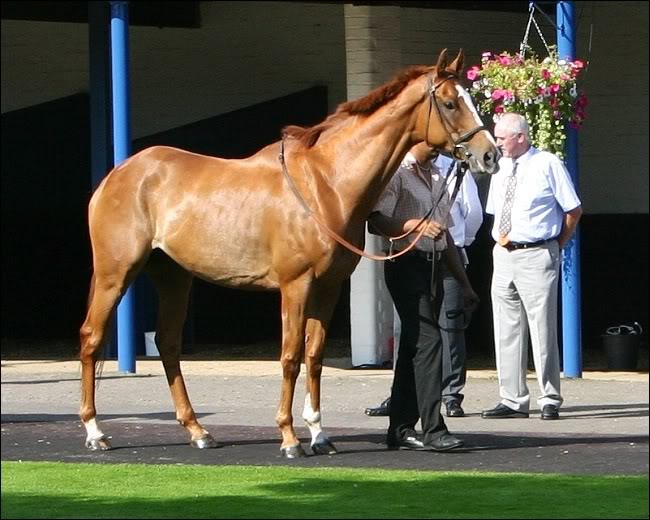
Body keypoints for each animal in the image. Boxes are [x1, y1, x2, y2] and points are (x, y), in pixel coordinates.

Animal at [78, 47, 498, 456]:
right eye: (449, 103)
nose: (489, 155)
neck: (327, 182)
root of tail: (116, 175)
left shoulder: (328, 287)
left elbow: (314, 356)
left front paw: (319, 434)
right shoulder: (295, 285)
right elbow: (290, 356)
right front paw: (289, 437)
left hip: (173, 276)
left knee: (167, 343)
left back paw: (198, 431)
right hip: (116, 273)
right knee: (92, 337)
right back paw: (95, 431)